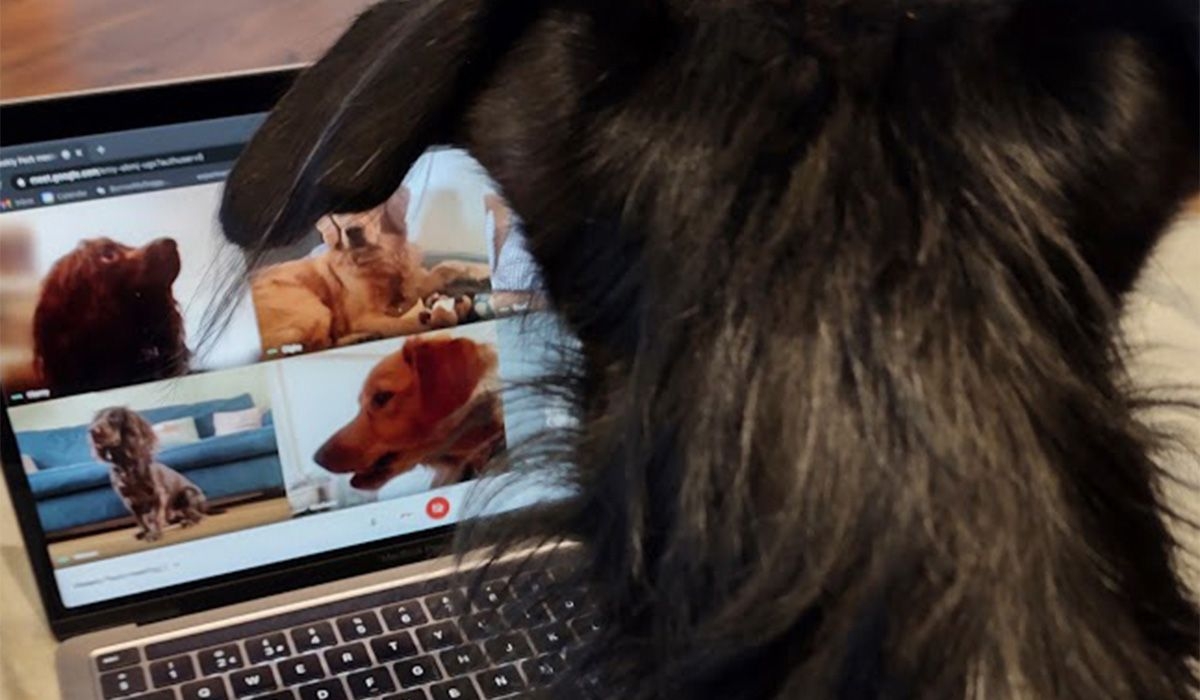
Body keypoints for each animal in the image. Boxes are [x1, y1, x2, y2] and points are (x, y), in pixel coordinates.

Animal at [90, 405, 207, 542]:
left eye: (114, 417)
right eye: (97, 419)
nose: (92, 431)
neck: (126, 465)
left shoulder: (158, 494)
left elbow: (154, 516)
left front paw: (154, 534)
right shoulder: (129, 500)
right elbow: (140, 520)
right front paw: (145, 532)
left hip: (188, 493)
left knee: (197, 514)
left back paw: (189, 522)